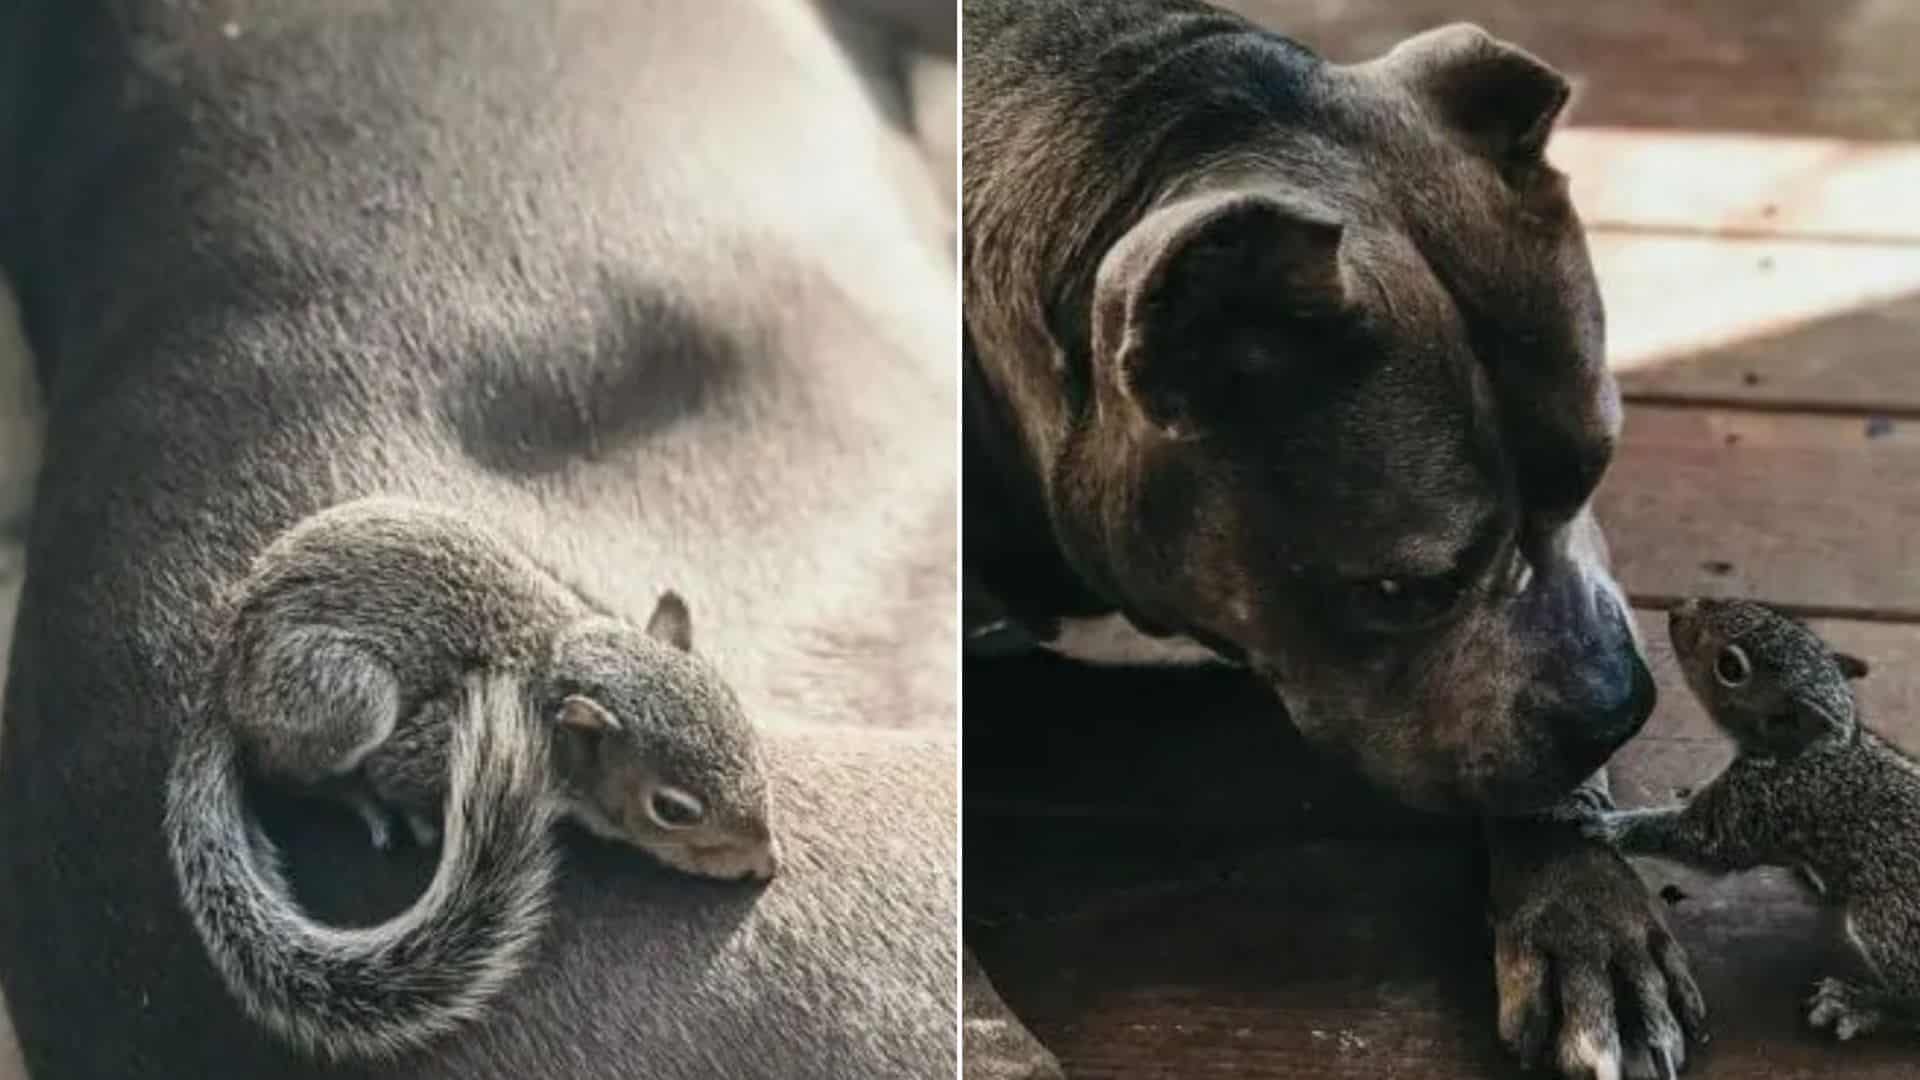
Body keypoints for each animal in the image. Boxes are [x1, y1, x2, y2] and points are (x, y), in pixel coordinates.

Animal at [159, 499, 771, 1060]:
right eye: (673, 809)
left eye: (740, 716)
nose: (768, 863)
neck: (555, 669)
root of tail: (225, 673)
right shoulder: (440, 739)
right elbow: (395, 776)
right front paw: (411, 813)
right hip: (347, 694)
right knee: (290, 773)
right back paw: (359, 801)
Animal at [1582, 591, 1912, 1037]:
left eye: (1731, 668)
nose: (1678, 611)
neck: (1809, 749)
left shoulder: (1755, 803)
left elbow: (1698, 841)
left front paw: (1603, 825)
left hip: (1889, 920)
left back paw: (1861, 1002)